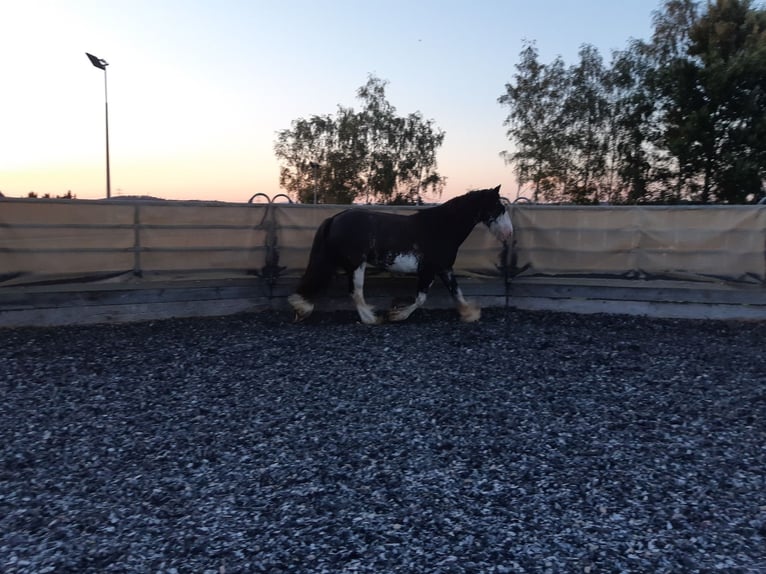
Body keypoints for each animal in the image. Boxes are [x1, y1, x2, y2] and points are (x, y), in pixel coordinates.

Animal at [288, 188, 516, 326]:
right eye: (499, 208)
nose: (509, 233)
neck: (442, 227)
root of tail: (335, 218)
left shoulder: (444, 269)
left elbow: (457, 293)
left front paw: (470, 313)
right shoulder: (428, 270)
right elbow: (421, 299)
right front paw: (397, 315)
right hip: (356, 264)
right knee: (355, 292)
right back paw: (371, 318)